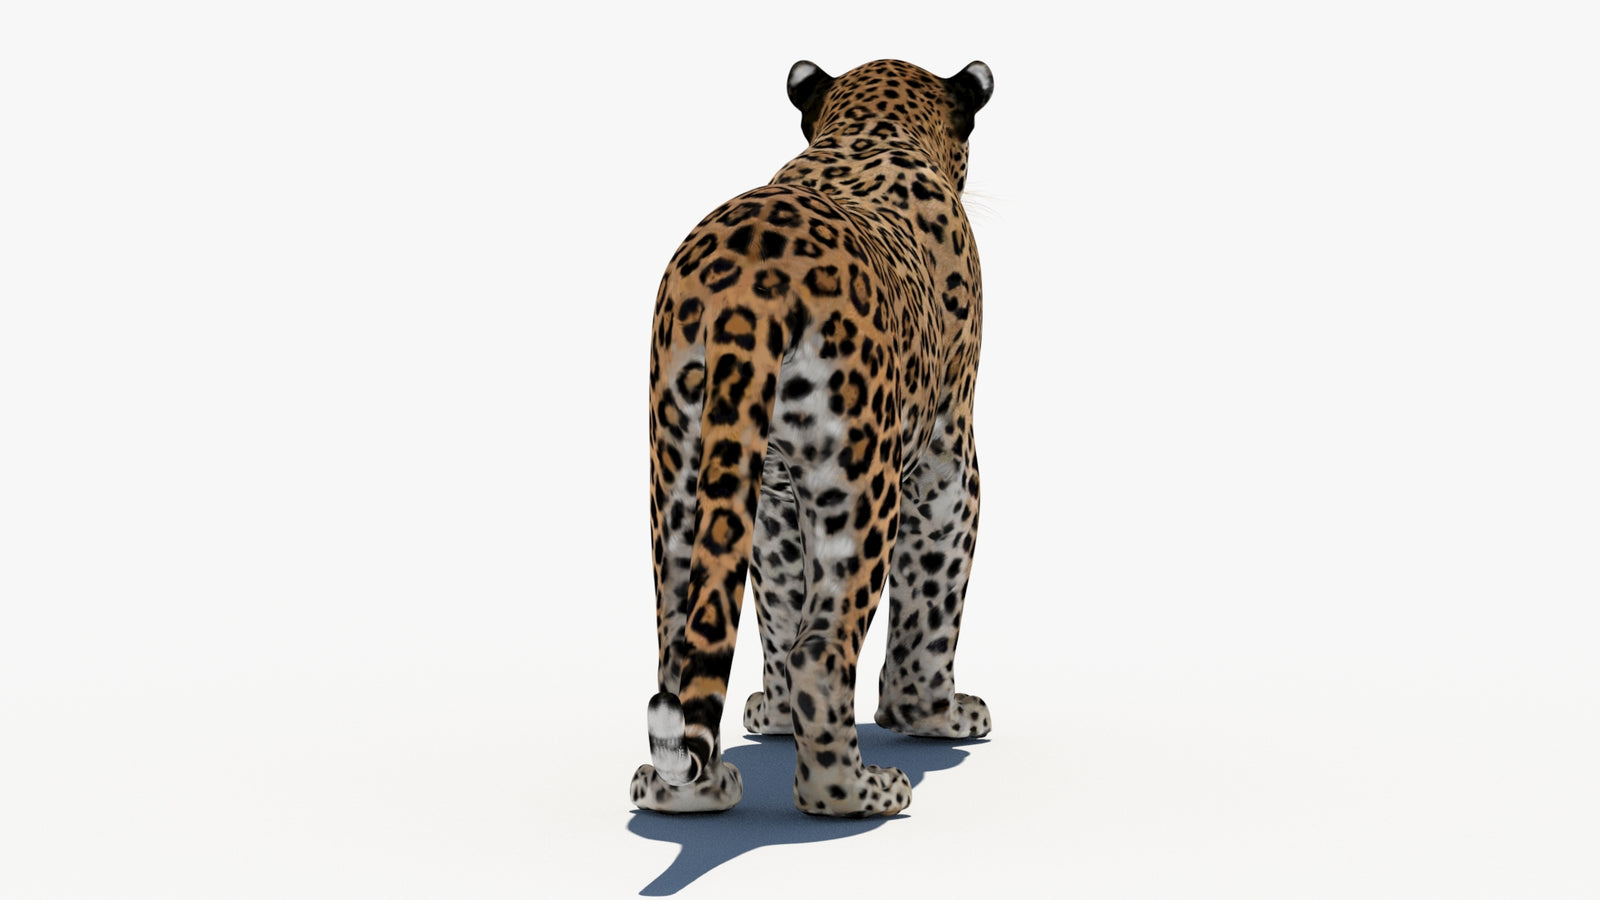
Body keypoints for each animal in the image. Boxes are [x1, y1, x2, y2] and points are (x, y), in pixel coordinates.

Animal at [630, 58, 995, 818]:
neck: (870, 128)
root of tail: (744, 296)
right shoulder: (947, 458)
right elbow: (935, 593)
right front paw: (933, 715)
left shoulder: (768, 496)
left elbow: (774, 599)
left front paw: (771, 717)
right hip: (859, 482)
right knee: (821, 651)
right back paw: (858, 792)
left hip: (681, 462)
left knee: (681, 642)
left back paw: (686, 792)